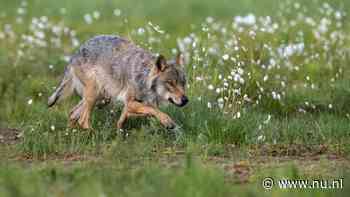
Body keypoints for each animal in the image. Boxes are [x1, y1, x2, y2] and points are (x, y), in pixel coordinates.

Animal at [47, 34, 189, 130]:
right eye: (170, 83)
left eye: (183, 83)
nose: (186, 100)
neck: (144, 74)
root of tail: (75, 54)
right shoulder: (131, 102)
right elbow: (154, 110)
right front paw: (167, 122)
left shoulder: (130, 104)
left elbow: (124, 118)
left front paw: (119, 132)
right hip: (95, 94)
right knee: (82, 120)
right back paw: (94, 134)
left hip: (102, 98)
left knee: (72, 113)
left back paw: (70, 133)